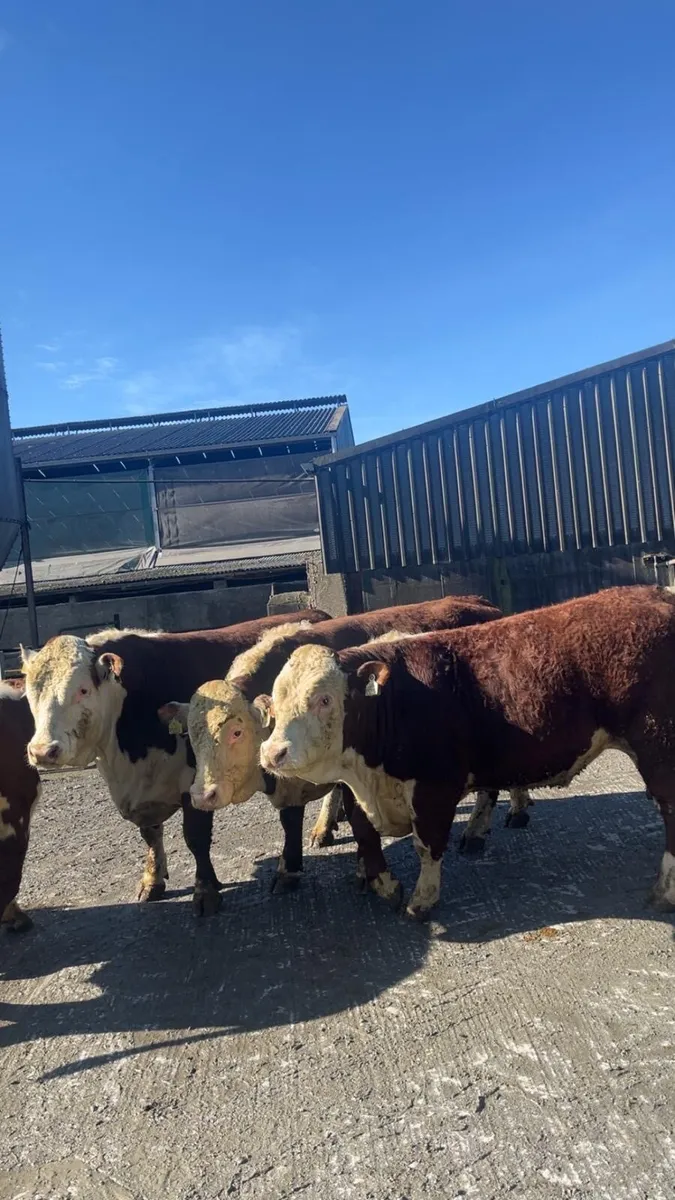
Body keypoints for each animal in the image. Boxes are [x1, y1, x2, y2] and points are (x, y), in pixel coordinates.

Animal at [21, 609, 330, 916]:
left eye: (83, 690)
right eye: (31, 693)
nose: (42, 751)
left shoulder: (194, 781)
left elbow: (195, 837)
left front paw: (205, 891)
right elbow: (149, 834)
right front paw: (152, 880)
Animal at [164, 597, 532, 893]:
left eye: (236, 733)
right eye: (190, 737)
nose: (202, 795)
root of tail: (480, 602)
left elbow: (350, 818)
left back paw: (486, 826)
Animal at [258, 585, 675, 920]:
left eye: (324, 699)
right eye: (276, 703)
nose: (273, 752)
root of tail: (657, 594)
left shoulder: (435, 786)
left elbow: (426, 845)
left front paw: (422, 900)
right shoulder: (360, 791)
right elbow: (366, 837)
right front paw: (387, 886)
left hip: (657, 744)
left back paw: (663, 892)